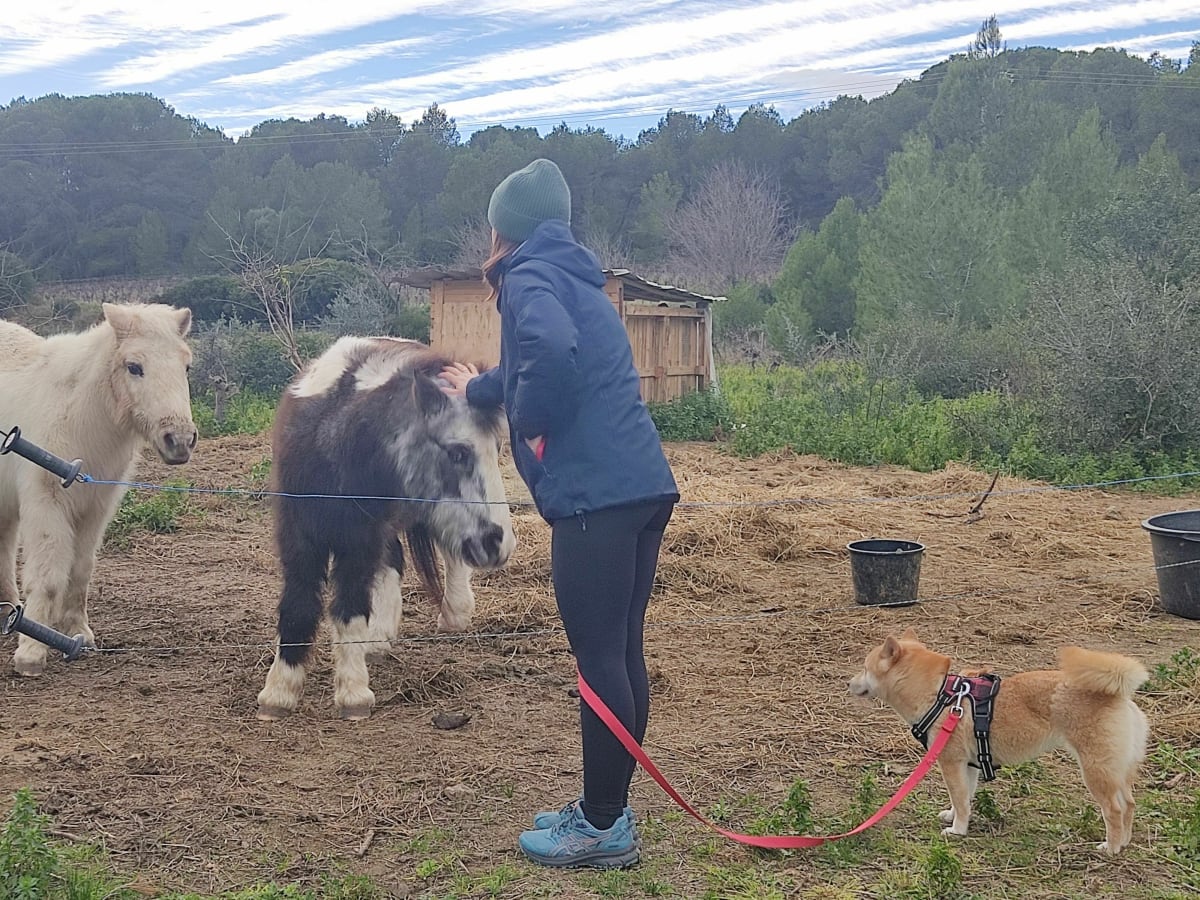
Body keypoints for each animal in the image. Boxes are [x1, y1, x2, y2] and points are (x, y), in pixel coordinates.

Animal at [0, 303, 197, 676]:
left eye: (186, 365)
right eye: (134, 367)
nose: (179, 440)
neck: (79, 414)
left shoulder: (95, 507)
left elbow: (80, 571)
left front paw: (78, 634)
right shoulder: (45, 505)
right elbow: (47, 577)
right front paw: (30, 653)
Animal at [255, 337, 517, 721]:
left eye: (495, 449)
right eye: (458, 453)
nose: (499, 545)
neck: (334, 437)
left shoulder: (359, 542)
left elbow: (349, 607)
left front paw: (352, 694)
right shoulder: (298, 536)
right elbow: (298, 605)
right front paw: (279, 691)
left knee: (448, 556)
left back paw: (454, 611)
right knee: (393, 560)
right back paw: (378, 638)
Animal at [848, 628, 1149, 854]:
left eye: (864, 668)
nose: (848, 683)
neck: (939, 695)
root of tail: (1118, 695)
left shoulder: (951, 762)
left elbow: (959, 798)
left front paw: (957, 830)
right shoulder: (968, 766)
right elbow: (964, 799)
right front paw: (955, 817)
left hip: (1096, 772)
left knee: (1114, 809)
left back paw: (1111, 847)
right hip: (1117, 772)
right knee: (1130, 804)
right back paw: (1124, 842)